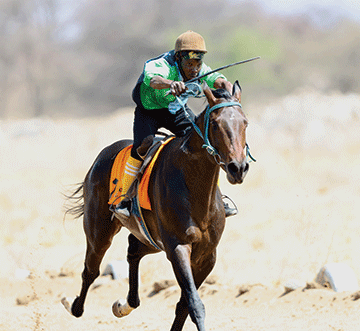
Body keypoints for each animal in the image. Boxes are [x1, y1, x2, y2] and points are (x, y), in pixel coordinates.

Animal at [62, 81, 249, 331]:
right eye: (217, 124)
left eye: (245, 122)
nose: (238, 168)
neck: (194, 186)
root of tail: (101, 156)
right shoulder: (177, 247)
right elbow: (195, 304)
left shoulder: (207, 255)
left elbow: (184, 305)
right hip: (99, 232)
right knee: (90, 270)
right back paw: (73, 305)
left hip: (151, 238)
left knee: (133, 250)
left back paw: (124, 305)